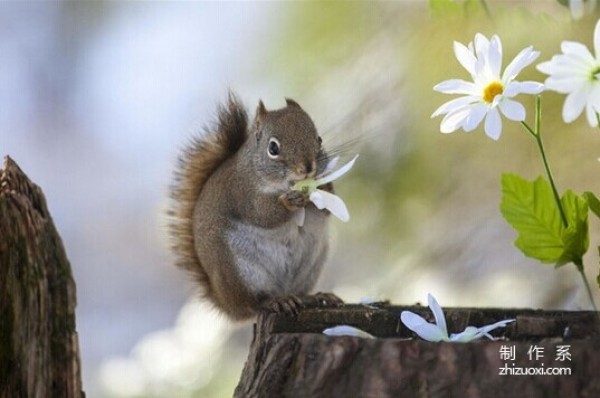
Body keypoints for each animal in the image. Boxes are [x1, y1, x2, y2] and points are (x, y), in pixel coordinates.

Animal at [169, 93, 342, 320]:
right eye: (273, 148)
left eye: (319, 139)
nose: (307, 167)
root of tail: (227, 304)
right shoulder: (242, 193)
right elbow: (263, 215)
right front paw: (289, 202)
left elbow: (326, 209)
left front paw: (324, 187)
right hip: (241, 273)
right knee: (253, 304)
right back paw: (275, 301)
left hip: (311, 265)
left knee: (298, 293)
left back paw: (314, 298)